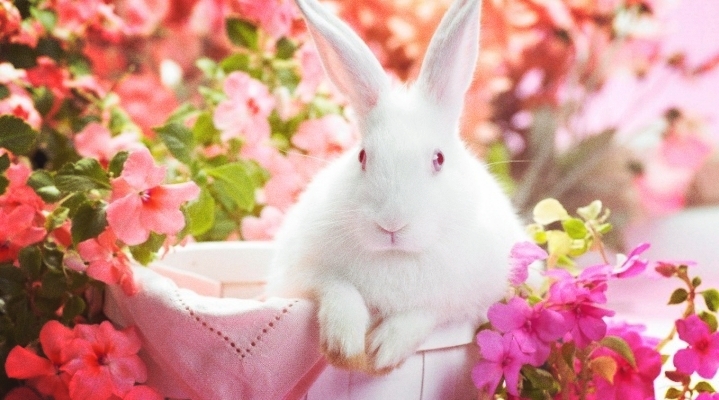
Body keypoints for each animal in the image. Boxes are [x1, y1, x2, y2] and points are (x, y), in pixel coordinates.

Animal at [265, 0, 528, 373]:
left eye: (438, 159)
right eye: (362, 156)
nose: (391, 225)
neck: (396, 256)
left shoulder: (469, 297)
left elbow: (425, 311)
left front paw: (382, 351)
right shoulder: (302, 275)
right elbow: (338, 289)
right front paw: (345, 347)